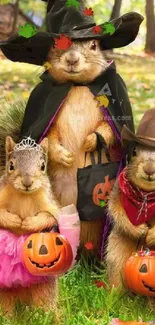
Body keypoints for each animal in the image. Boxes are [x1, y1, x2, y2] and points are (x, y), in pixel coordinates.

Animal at [0, 0, 143, 256]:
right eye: (56, 45)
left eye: (94, 45)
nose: (72, 60)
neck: (77, 85)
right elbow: (51, 135)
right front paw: (62, 154)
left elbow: (107, 129)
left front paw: (90, 141)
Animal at [106, 109, 155, 286]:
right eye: (134, 151)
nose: (149, 169)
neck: (146, 196)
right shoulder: (117, 191)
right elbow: (117, 210)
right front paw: (139, 230)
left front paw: (151, 234)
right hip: (117, 250)